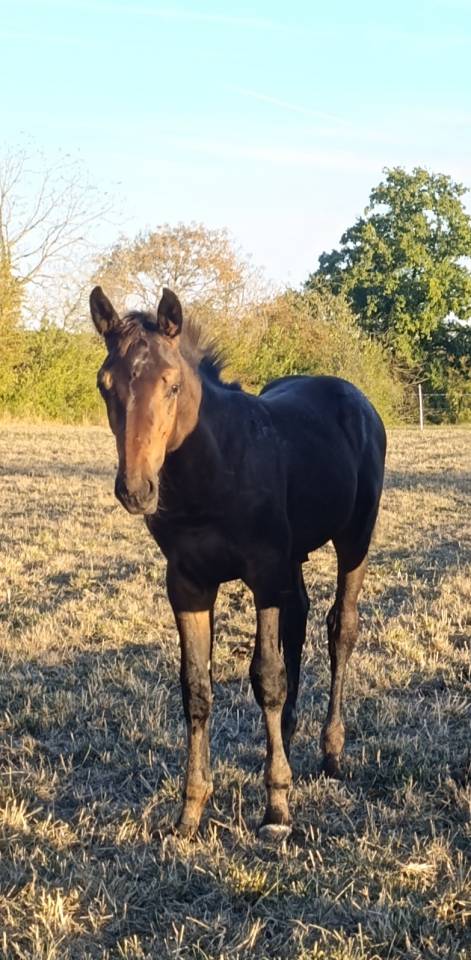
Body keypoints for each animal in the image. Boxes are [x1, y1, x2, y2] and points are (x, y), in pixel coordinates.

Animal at [90, 285, 386, 840]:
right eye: (104, 385)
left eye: (172, 384)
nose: (136, 490)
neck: (214, 467)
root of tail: (354, 397)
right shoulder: (186, 584)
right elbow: (196, 688)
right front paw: (189, 811)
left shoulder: (263, 574)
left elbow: (267, 677)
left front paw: (277, 809)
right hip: (293, 558)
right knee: (300, 619)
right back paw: (287, 740)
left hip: (354, 537)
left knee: (341, 627)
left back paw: (330, 752)